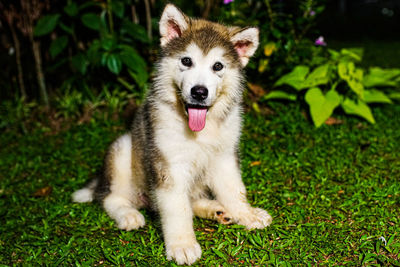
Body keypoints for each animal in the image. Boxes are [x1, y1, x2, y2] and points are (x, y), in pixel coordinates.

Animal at [72, 4, 272, 266]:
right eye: (186, 61)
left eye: (218, 66)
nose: (199, 92)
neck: (200, 130)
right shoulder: (168, 164)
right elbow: (177, 208)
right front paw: (182, 245)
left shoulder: (224, 156)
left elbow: (234, 189)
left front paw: (246, 214)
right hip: (123, 149)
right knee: (109, 198)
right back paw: (128, 215)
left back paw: (216, 210)